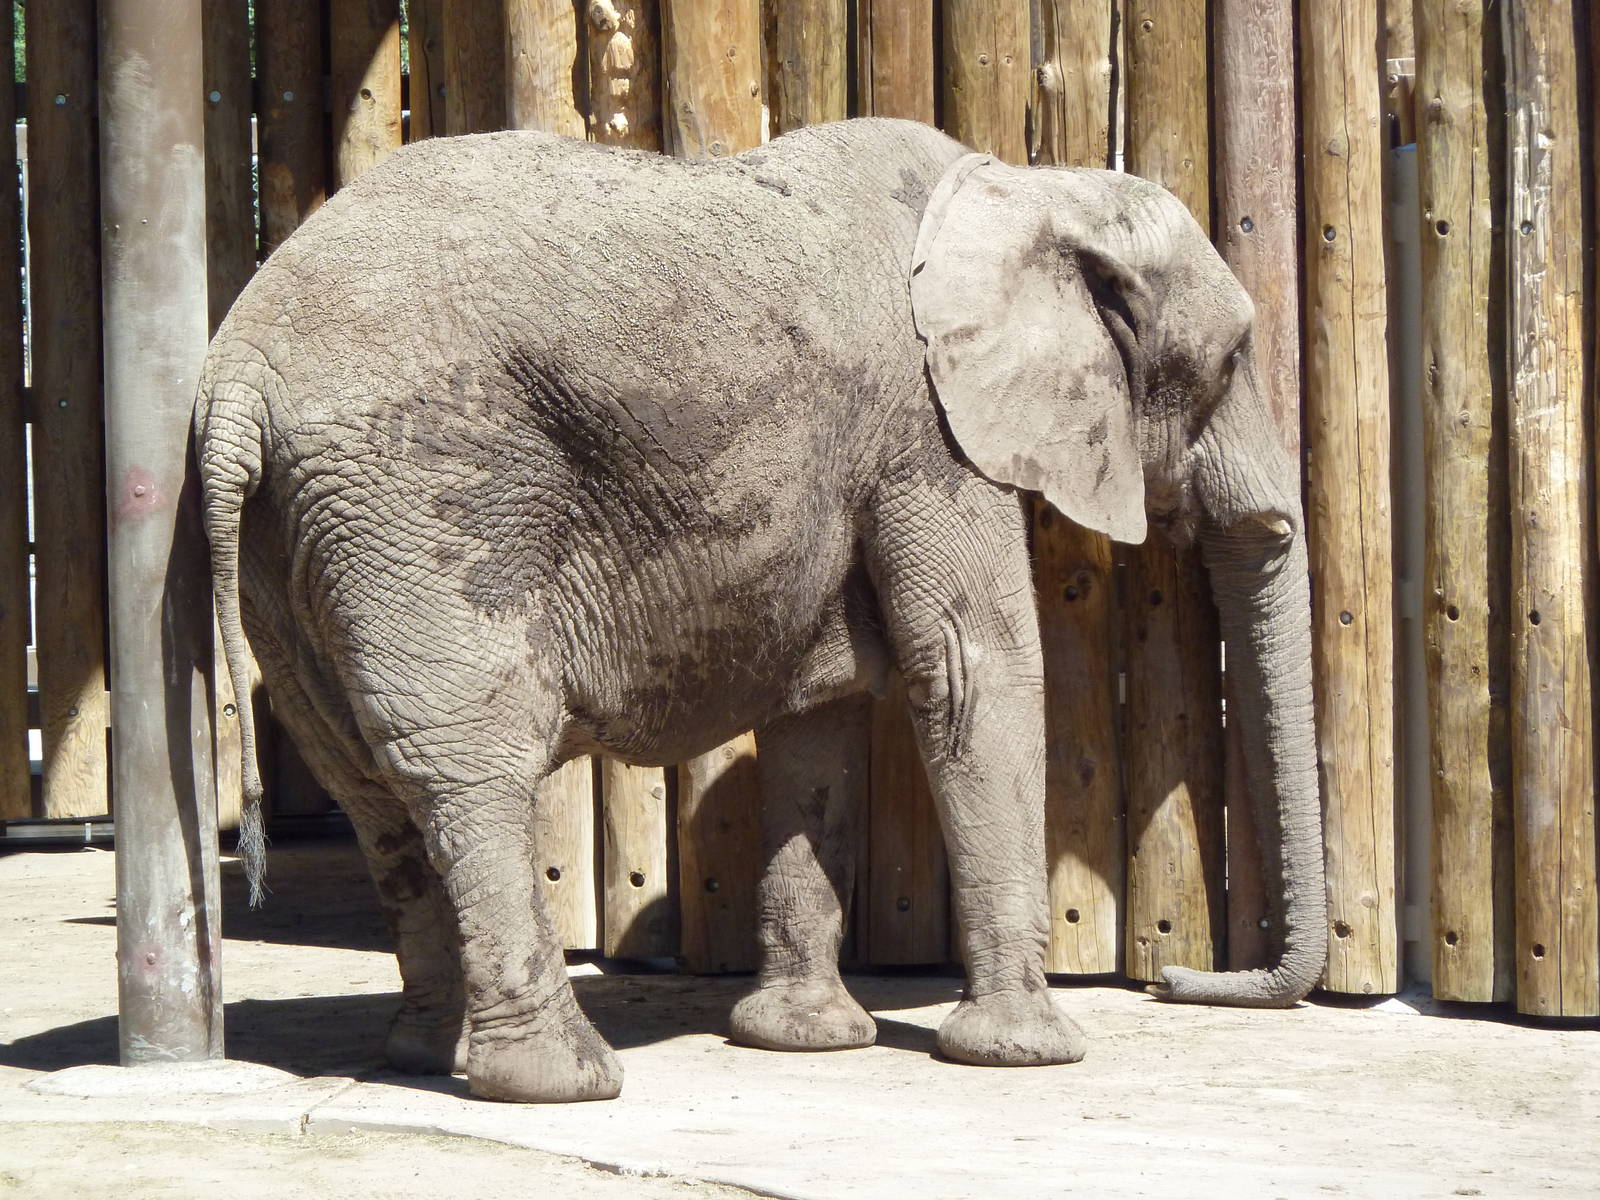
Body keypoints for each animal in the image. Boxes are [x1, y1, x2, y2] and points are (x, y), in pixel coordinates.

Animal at [194, 117, 1327, 1104]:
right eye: (1232, 360)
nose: (1173, 978)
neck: (1029, 188)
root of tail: (240, 365)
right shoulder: (927, 424)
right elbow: (974, 667)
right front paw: (1028, 1055)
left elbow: (819, 711)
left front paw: (804, 1040)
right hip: (426, 496)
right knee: (467, 762)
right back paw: (561, 1081)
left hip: (293, 541)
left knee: (364, 780)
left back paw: (429, 1056)